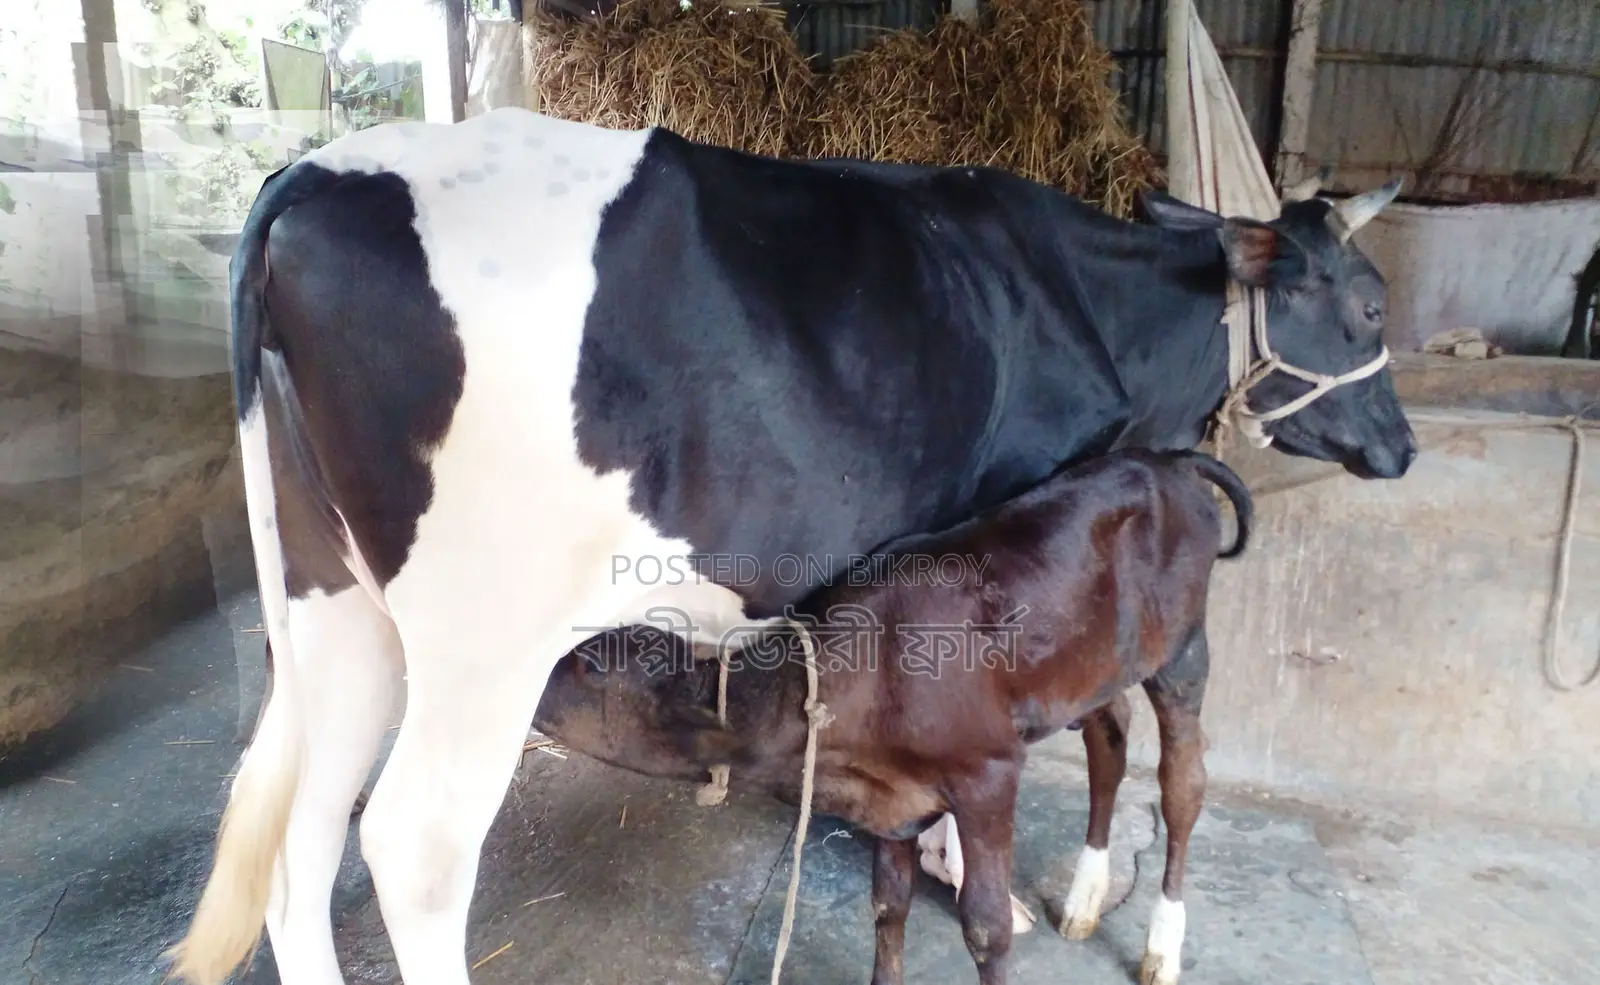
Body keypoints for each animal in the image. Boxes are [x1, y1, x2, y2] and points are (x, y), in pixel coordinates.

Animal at [529, 447, 1253, 985]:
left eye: (589, 663)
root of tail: (1167, 459)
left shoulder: (988, 772)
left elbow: (986, 926)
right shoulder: (892, 797)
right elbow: (887, 904)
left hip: (1184, 652)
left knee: (1183, 785)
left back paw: (1162, 946)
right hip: (1097, 666)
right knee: (1110, 737)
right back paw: (1083, 900)